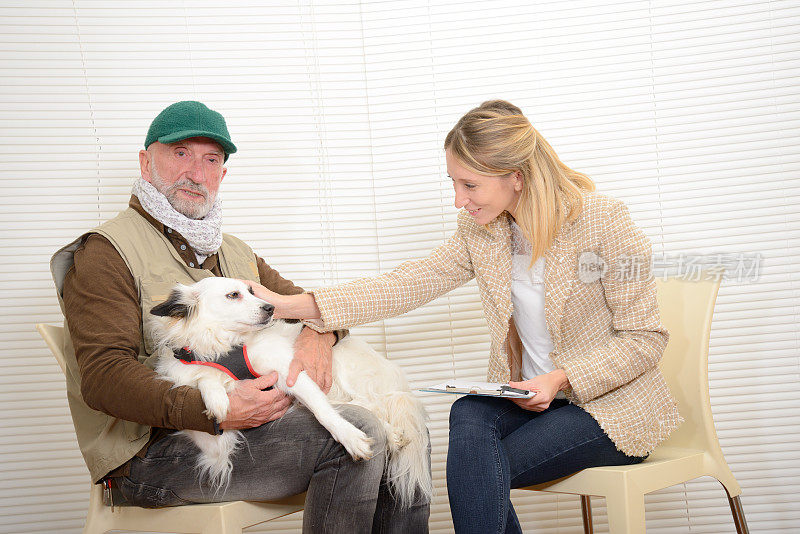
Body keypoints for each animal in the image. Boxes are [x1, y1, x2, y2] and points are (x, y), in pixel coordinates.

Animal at [148, 278, 432, 508]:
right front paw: (216, 397)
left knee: (368, 402)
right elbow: (206, 383)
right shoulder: (215, 444)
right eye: (233, 295)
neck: (225, 347)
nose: (270, 308)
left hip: (341, 367)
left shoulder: (290, 372)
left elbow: (323, 411)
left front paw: (350, 437)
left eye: (252, 291)